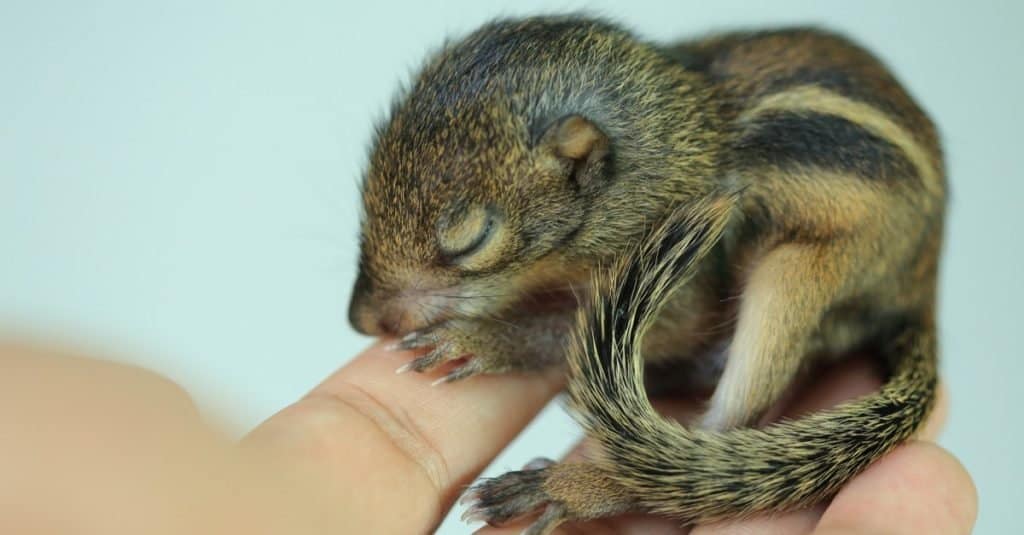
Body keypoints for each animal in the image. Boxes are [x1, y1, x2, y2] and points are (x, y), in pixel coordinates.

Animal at [350, 14, 942, 528]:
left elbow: (638, 328)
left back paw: (576, 487)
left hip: (799, 277)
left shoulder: (688, 266)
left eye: (470, 239)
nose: (362, 319)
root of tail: (919, 289)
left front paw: (481, 339)